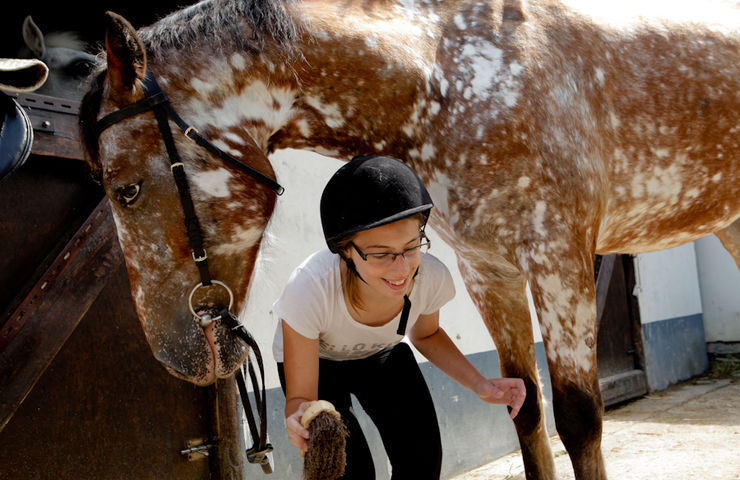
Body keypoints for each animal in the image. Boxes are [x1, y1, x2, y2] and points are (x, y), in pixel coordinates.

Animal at [79, 0, 740, 478]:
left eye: (126, 189)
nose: (179, 356)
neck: (451, 77)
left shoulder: (558, 260)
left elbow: (578, 421)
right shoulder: (488, 271)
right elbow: (525, 410)